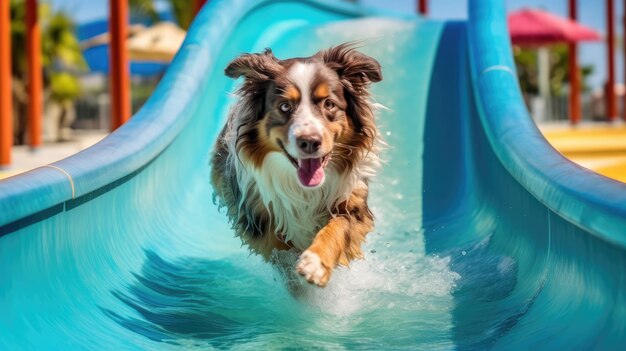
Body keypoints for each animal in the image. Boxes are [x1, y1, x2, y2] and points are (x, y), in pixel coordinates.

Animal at [211, 43, 380, 286]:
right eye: (284, 107)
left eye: (329, 104)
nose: (310, 142)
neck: (304, 188)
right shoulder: (261, 222)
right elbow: (283, 255)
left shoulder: (353, 205)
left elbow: (336, 228)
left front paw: (315, 264)